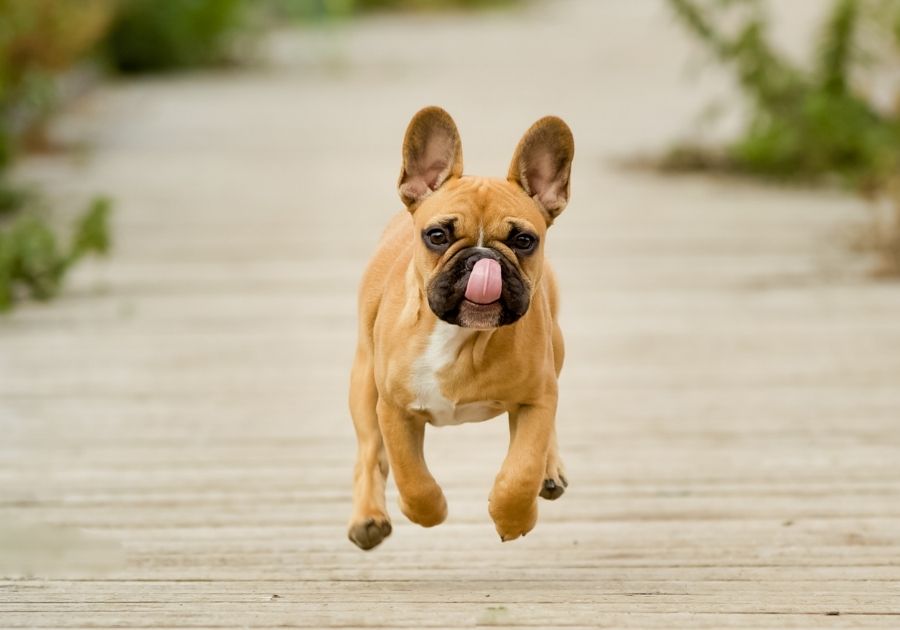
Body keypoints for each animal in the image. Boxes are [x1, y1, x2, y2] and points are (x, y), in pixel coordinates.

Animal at [348, 106, 572, 552]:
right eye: (437, 235)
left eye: (524, 240)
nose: (482, 259)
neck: (463, 338)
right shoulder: (393, 408)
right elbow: (410, 475)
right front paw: (429, 511)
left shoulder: (537, 399)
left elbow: (521, 470)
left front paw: (513, 516)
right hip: (363, 385)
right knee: (369, 453)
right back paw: (367, 518)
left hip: (557, 351)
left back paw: (550, 470)